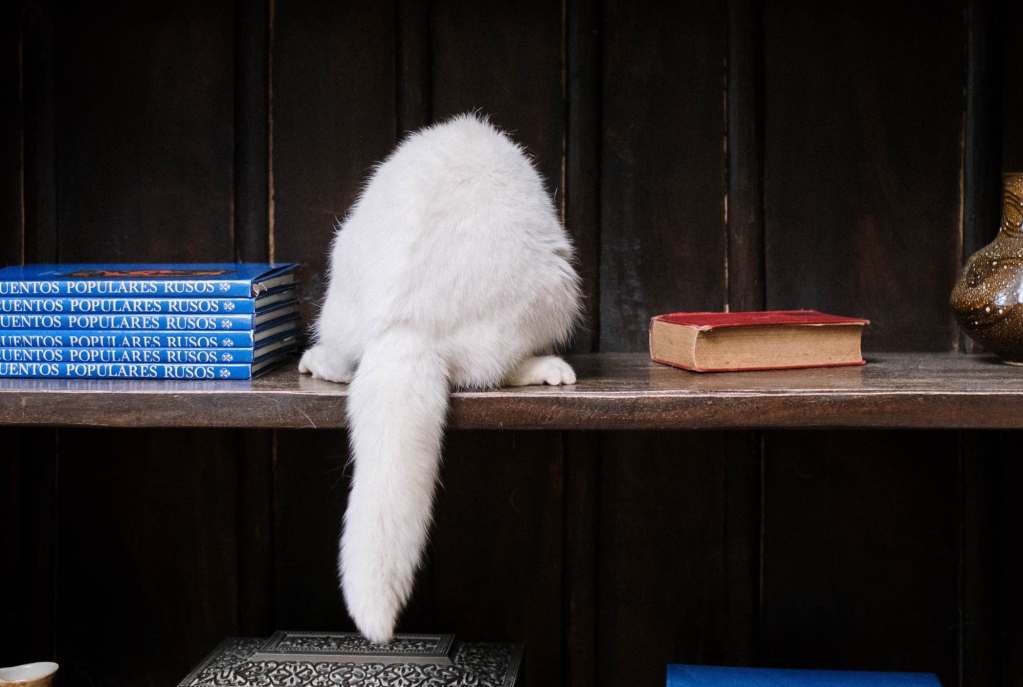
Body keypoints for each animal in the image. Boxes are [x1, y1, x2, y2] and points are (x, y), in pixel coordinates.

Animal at [298, 112, 581, 646]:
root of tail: (407, 325)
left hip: (340, 294)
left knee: (341, 359)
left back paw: (315, 362)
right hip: (555, 282)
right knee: (497, 370)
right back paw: (548, 370)